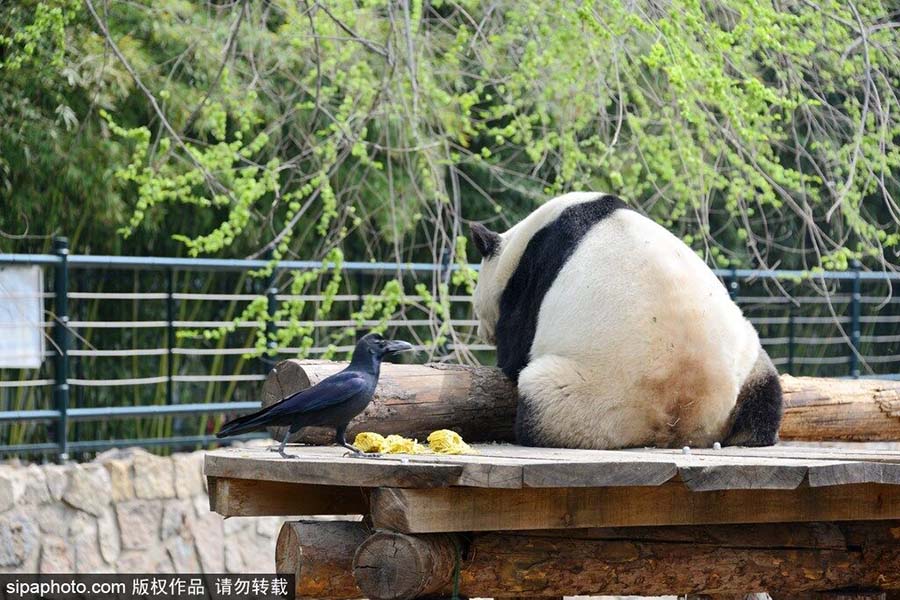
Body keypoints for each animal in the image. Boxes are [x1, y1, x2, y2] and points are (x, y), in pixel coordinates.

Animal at [470, 192, 783, 449]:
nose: (482, 332)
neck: (520, 244)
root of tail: (683, 417)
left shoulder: (534, 273)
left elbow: (516, 345)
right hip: (747, 365)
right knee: (767, 395)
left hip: (592, 399)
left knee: (540, 402)